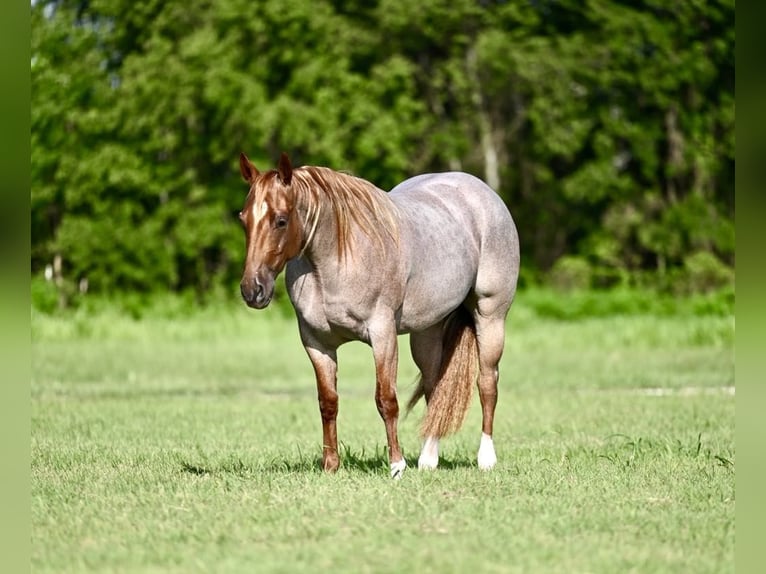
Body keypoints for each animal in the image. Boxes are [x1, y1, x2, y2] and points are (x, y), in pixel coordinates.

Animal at [237, 152, 519, 479]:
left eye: (281, 220)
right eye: (244, 219)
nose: (252, 290)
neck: (334, 261)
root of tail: (483, 192)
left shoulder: (382, 334)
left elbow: (386, 399)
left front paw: (396, 465)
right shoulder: (316, 343)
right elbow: (328, 402)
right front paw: (331, 465)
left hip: (490, 317)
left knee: (487, 383)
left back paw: (486, 458)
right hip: (427, 331)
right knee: (434, 386)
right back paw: (428, 460)